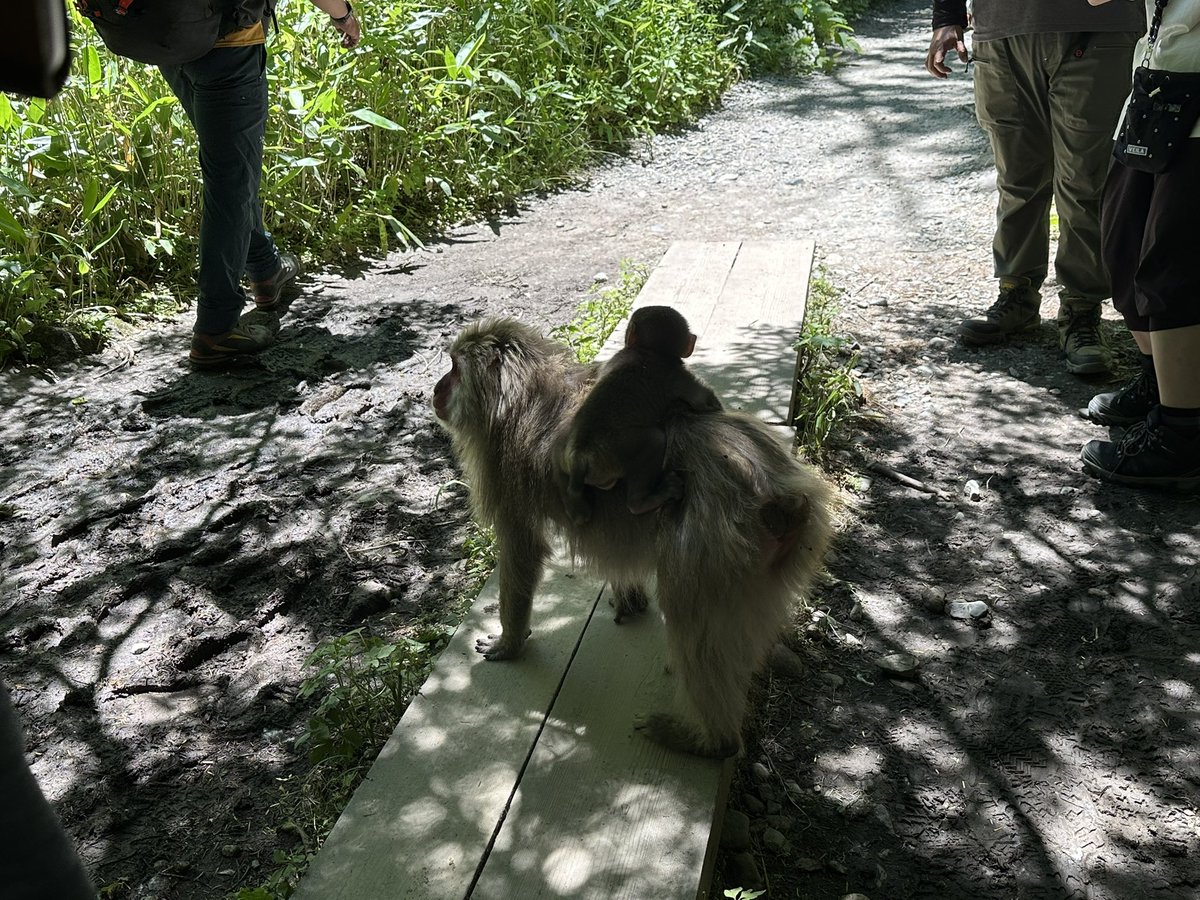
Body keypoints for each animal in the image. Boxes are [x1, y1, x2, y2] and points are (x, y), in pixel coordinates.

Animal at [559, 305, 722, 525]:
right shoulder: (678, 374)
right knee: (655, 441)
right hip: (614, 454)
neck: (648, 351)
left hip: (571, 458)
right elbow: (705, 401)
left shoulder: (617, 357)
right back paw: (643, 501)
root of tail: (580, 458)